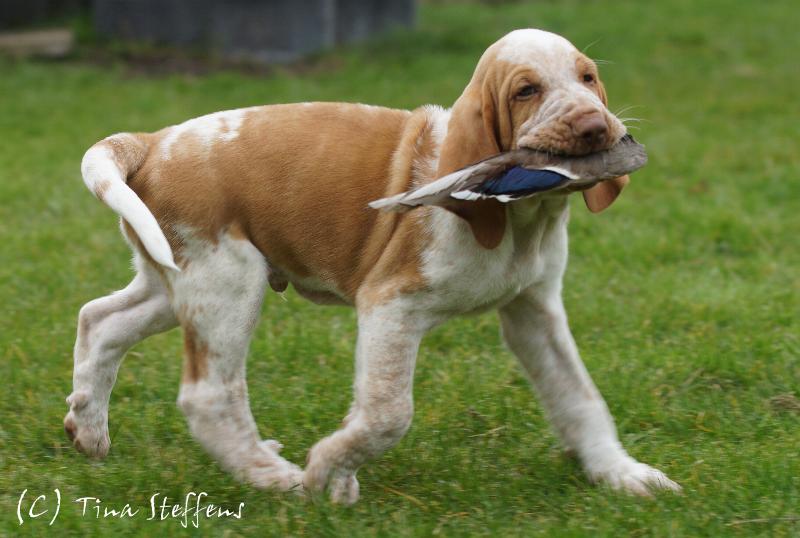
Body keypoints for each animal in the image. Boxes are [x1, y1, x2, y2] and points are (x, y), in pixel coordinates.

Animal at [65, 28, 680, 498]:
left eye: (588, 78)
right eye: (526, 90)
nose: (596, 127)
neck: (519, 219)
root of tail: (153, 140)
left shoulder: (535, 310)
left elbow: (579, 397)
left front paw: (620, 473)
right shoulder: (391, 305)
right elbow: (387, 412)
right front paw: (329, 470)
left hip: (175, 278)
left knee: (101, 319)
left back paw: (88, 428)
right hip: (227, 282)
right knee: (209, 394)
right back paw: (275, 477)